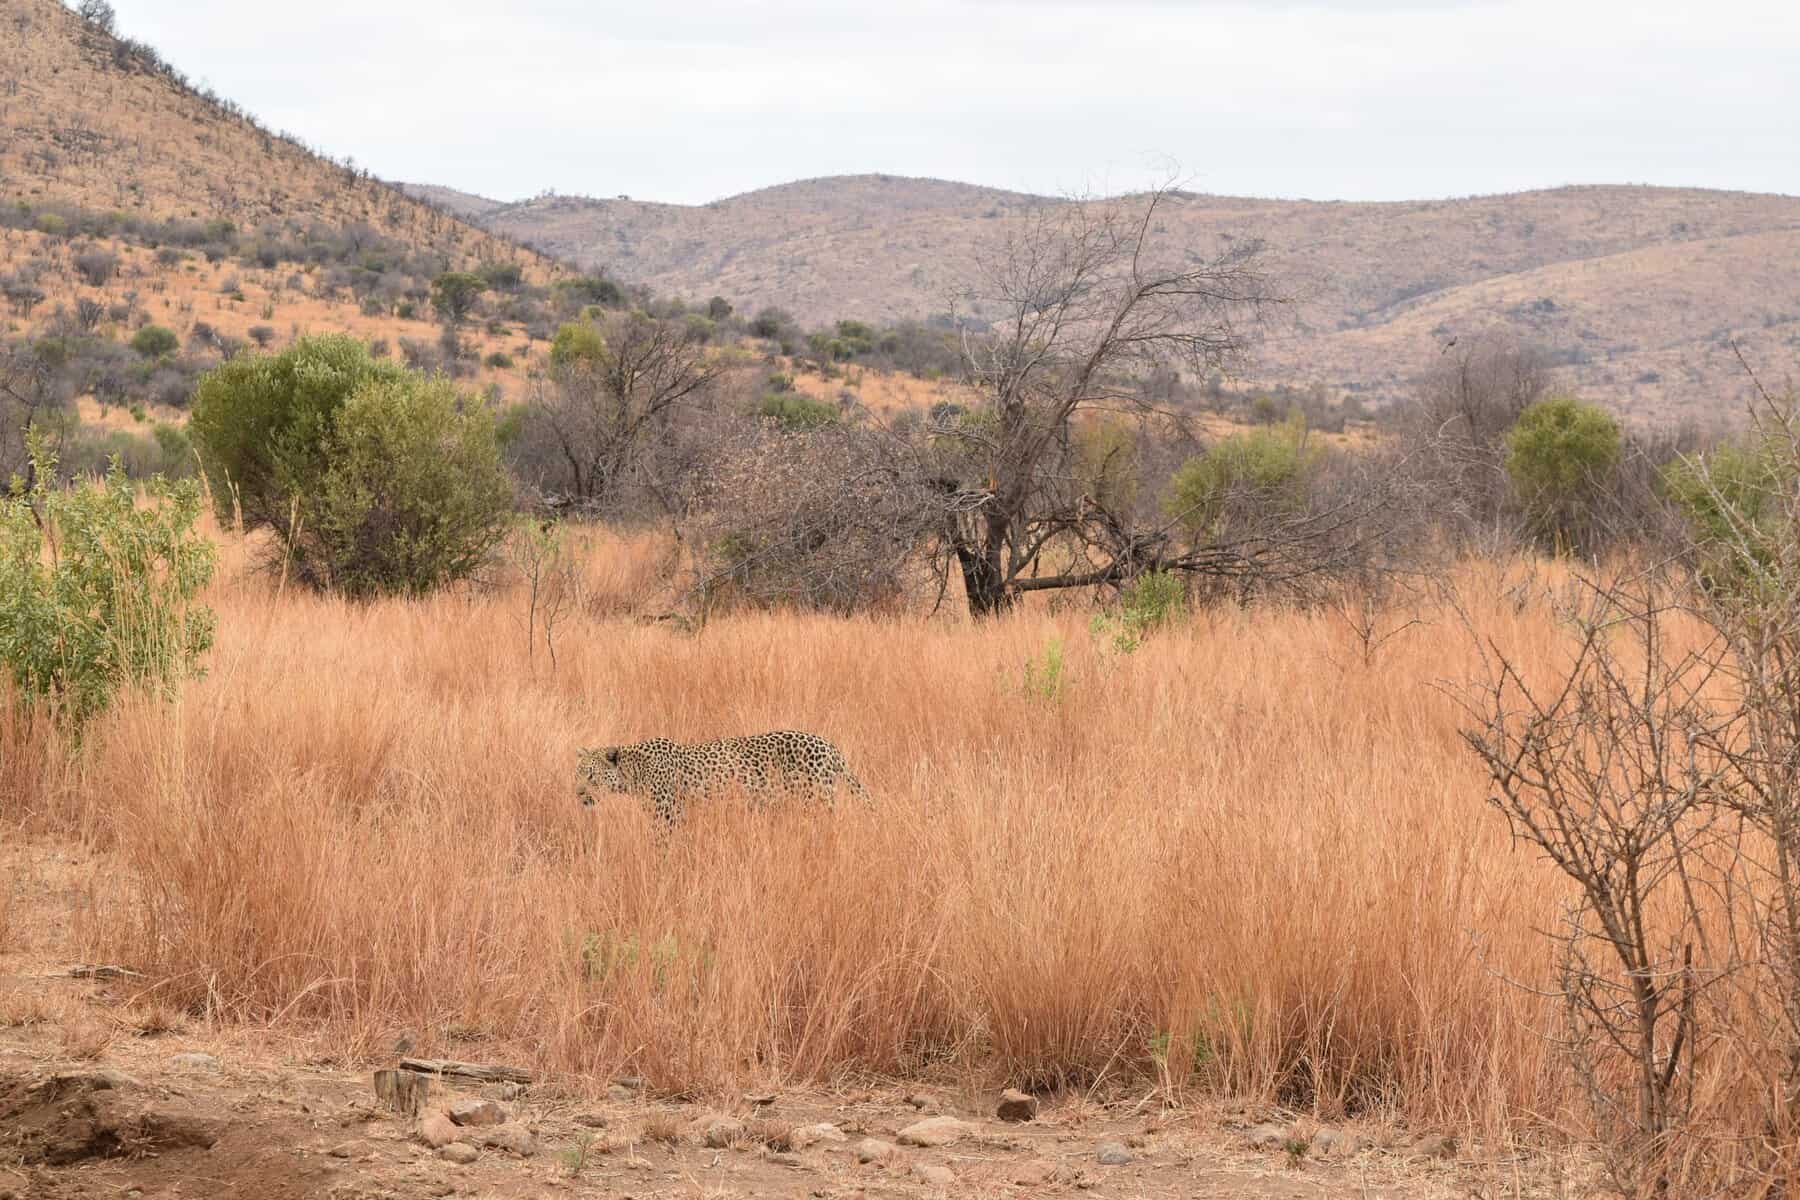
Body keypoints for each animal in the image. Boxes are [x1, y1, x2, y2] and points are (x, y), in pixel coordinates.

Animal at [576, 730, 867, 825]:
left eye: (590, 775)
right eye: (576, 774)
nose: (578, 793)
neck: (633, 772)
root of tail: (829, 745)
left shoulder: (667, 816)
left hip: (816, 800)